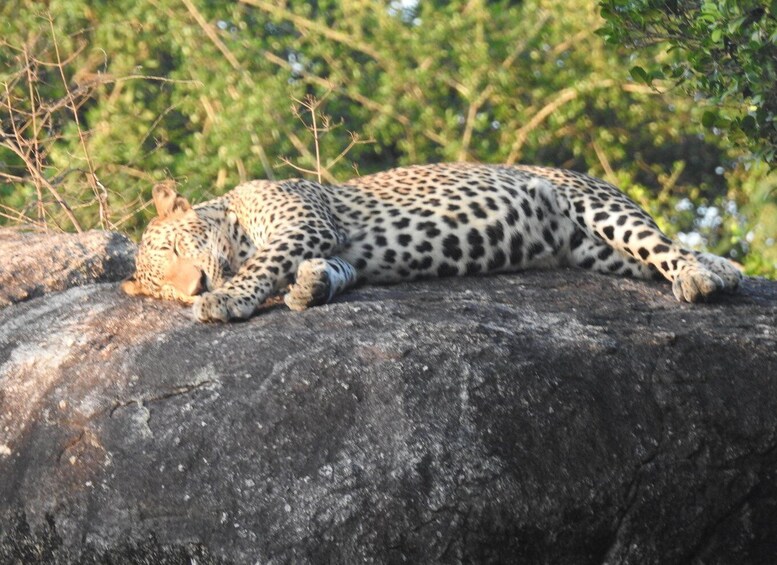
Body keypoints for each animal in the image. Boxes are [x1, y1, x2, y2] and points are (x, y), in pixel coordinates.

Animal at [121, 163, 742, 322]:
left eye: (175, 250)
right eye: (165, 287)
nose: (192, 286)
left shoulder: (305, 225)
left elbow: (263, 265)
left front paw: (224, 299)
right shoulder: (342, 252)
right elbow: (332, 273)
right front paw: (309, 286)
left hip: (598, 207)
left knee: (665, 247)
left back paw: (701, 278)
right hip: (600, 253)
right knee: (655, 256)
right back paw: (724, 269)